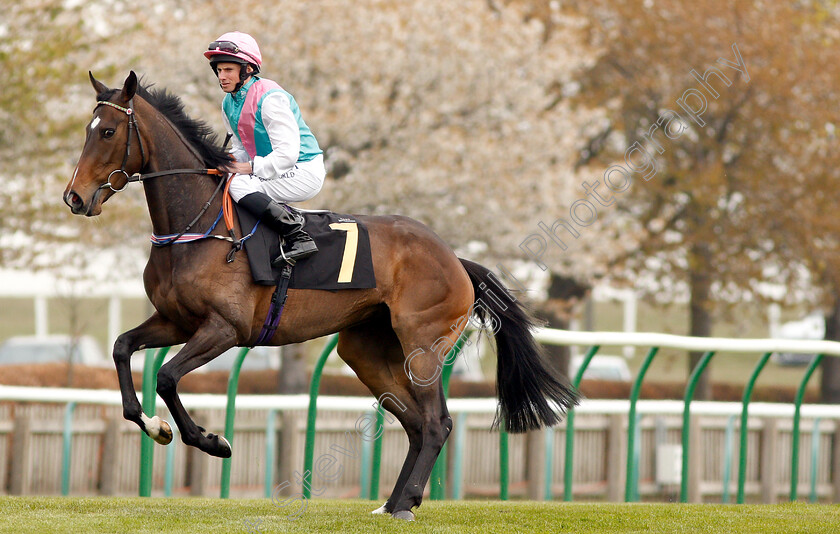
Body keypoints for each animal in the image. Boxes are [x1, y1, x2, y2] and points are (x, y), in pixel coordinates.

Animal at [64, 73, 576, 520]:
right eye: (87, 130)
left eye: (107, 131)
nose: (75, 198)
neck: (199, 227)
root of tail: (455, 258)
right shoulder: (175, 320)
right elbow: (122, 349)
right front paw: (156, 426)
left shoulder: (225, 329)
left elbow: (168, 376)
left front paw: (212, 440)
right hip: (366, 349)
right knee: (413, 422)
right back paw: (393, 502)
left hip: (423, 343)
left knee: (436, 422)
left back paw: (405, 504)